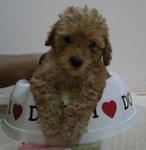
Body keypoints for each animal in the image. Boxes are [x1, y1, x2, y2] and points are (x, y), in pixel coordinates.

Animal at [30, 6, 112, 143]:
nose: (76, 61)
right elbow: (48, 98)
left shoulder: (92, 82)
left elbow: (80, 104)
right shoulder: (42, 76)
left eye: (92, 44)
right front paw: (51, 125)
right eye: (67, 39)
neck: (71, 75)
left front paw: (70, 130)